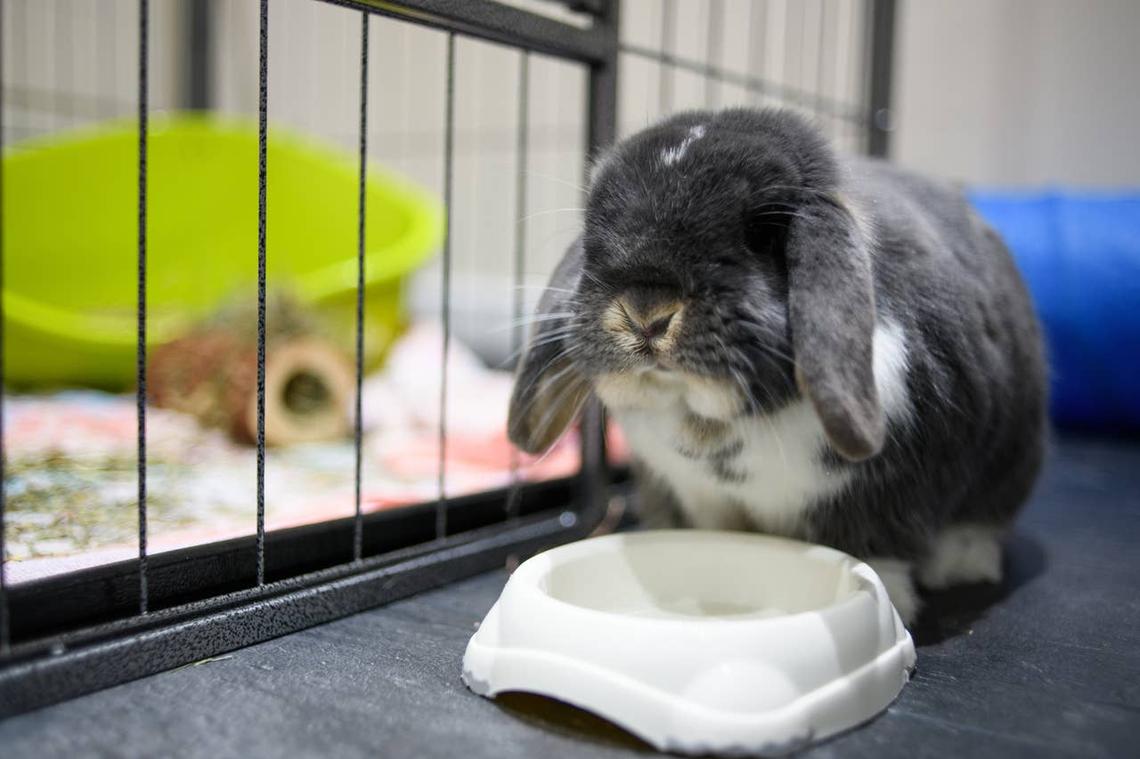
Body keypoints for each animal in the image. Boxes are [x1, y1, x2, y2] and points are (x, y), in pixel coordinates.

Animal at [507, 108, 1047, 624]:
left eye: (762, 232)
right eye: (593, 232)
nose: (646, 315)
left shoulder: (888, 493)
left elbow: (879, 551)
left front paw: (890, 600)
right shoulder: (699, 496)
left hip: (1009, 461)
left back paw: (962, 565)